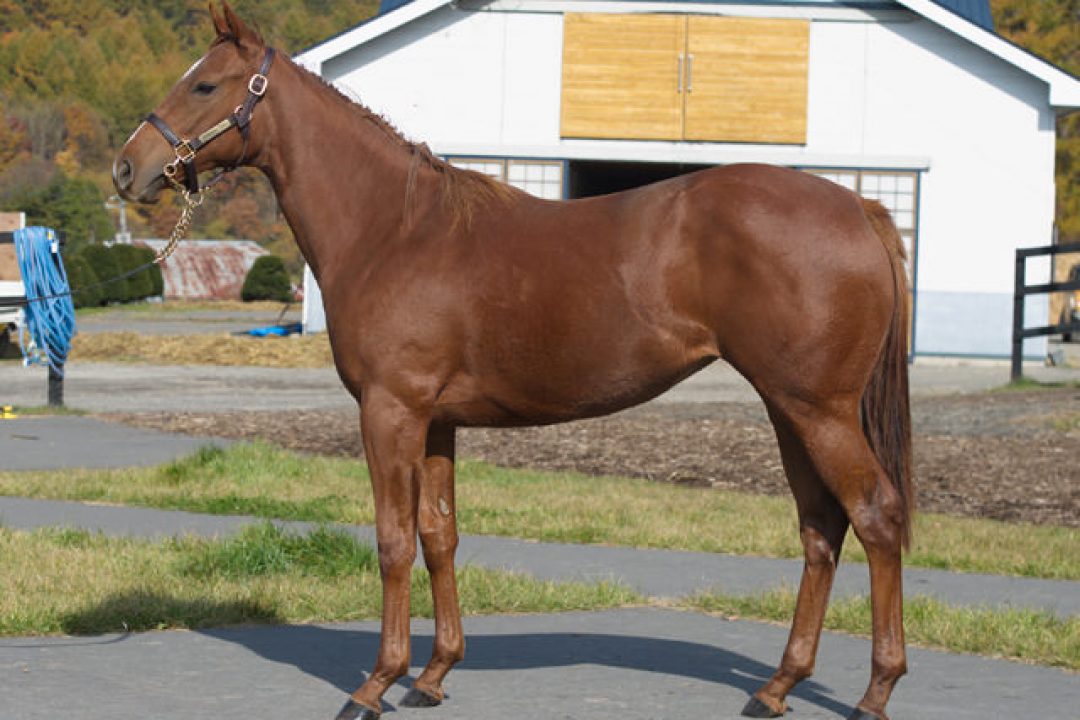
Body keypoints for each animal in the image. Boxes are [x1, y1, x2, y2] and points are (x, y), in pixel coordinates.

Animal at [114, 4, 912, 719]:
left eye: (205, 86)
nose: (128, 168)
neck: (394, 231)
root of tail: (860, 208)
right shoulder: (436, 423)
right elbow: (439, 536)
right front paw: (433, 675)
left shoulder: (390, 412)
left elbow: (393, 541)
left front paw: (376, 685)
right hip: (789, 409)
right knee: (821, 527)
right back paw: (777, 688)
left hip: (817, 410)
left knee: (875, 517)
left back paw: (876, 692)